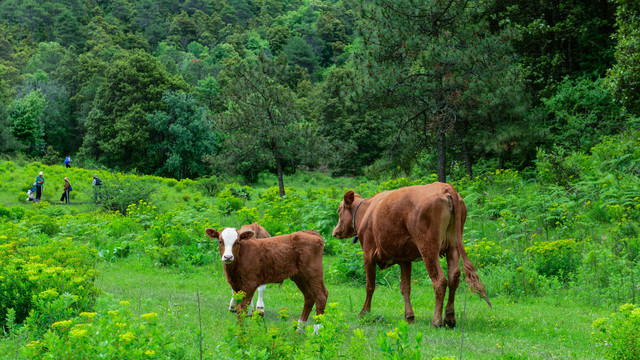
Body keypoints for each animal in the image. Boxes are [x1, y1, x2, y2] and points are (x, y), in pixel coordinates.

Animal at [332, 183, 492, 326]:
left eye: (339, 210)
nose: (334, 231)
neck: (366, 212)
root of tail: (445, 187)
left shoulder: (368, 254)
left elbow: (370, 286)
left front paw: (364, 313)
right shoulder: (405, 259)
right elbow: (405, 287)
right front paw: (409, 316)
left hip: (428, 248)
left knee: (440, 281)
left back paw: (437, 321)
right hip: (452, 247)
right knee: (454, 277)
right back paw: (450, 319)